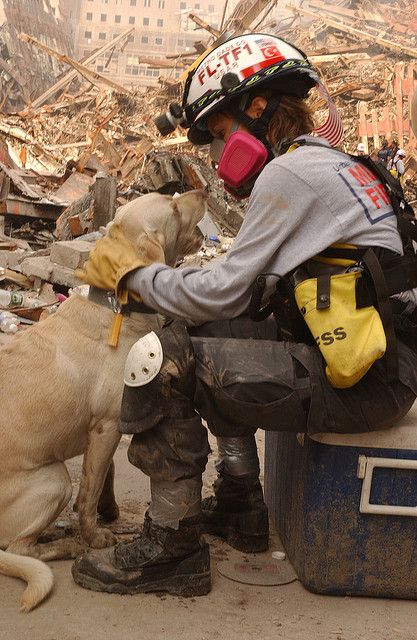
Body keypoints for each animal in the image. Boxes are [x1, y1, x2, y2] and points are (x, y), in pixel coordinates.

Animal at [0, 189, 206, 608]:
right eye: (174, 207)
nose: (205, 191)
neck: (117, 306)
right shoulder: (107, 426)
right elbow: (91, 490)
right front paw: (94, 534)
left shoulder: (107, 427)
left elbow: (106, 473)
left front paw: (110, 512)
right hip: (54, 479)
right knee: (18, 547)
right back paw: (66, 546)